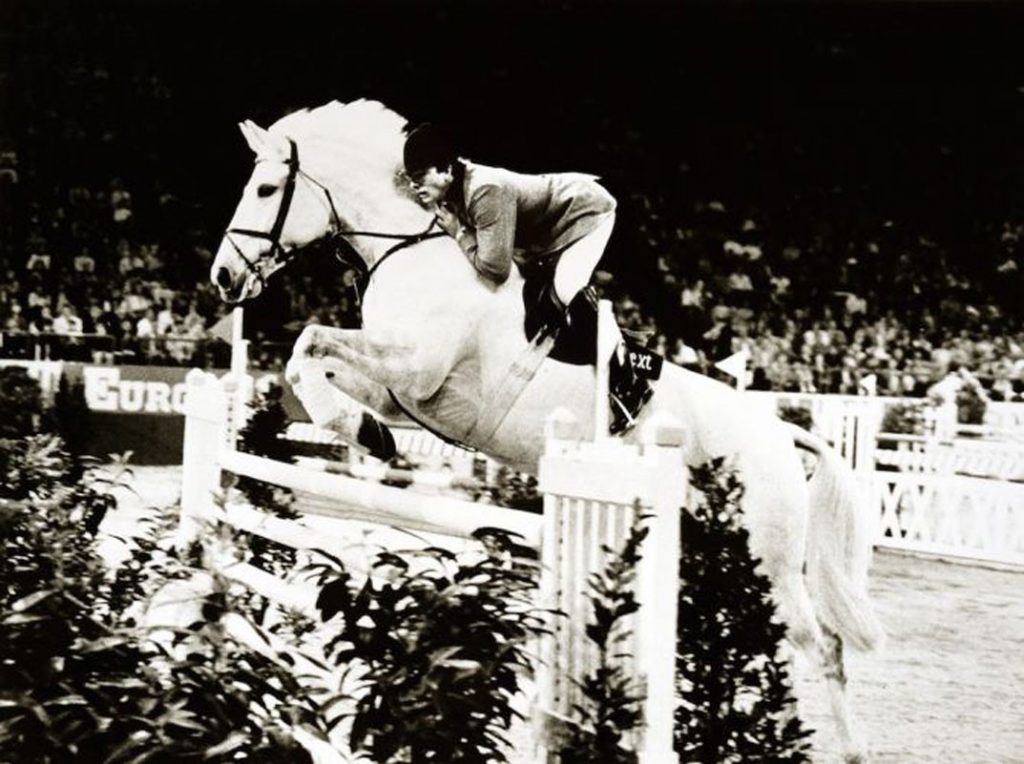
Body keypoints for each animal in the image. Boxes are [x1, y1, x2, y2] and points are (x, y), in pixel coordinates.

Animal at [211, 99, 884, 757]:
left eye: (266, 189)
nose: (223, 278)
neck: (410, 251)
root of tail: (780, 433)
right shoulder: (404, 394)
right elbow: (311, 357)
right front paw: (366, 434)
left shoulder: (417, 369)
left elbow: (309, 341)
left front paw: (360, 433)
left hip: (767, 561)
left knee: (818, 647)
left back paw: (841, 748)